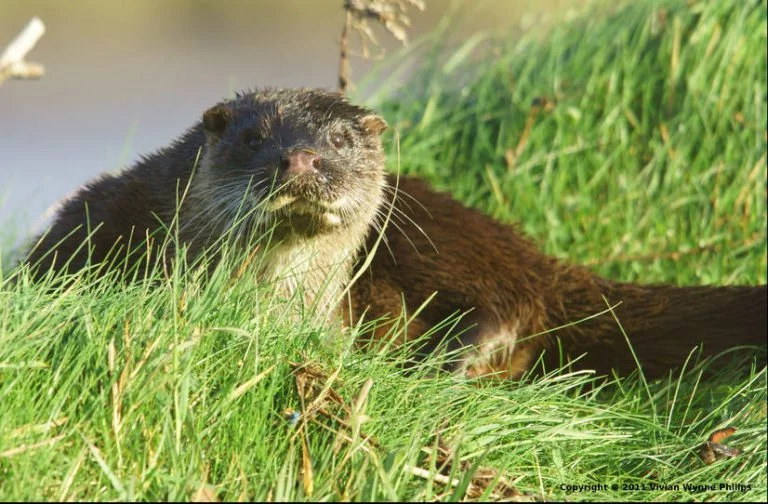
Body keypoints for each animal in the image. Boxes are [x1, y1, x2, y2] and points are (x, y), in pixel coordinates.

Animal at [22, 88, 767, 379]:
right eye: (254, 137)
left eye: (339, 139)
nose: (300, 159)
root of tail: (535, 254)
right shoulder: (91, 220)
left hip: (440, 239)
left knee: (511, 307)